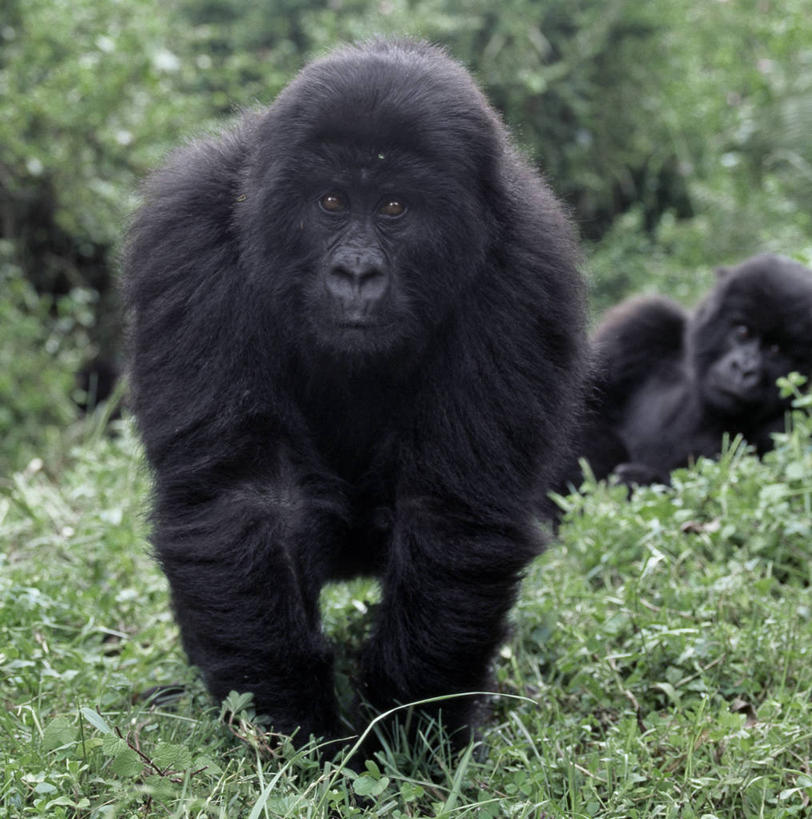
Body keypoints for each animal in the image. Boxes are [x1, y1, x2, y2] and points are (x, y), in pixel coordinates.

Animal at [123, 43, 588, 748]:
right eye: (332, 201)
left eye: (395, 209)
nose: (356, 273)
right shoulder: (186, 235)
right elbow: (242, 498)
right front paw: (289, 726)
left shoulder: (528, 269)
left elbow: (450, 512)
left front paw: (411, 733)